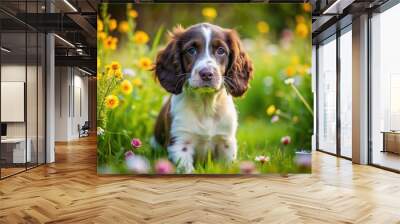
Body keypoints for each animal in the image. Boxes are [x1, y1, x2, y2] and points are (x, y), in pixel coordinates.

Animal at [152, 23, 252, 173]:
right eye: (191, 50)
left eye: (221, 51)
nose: (206, 74)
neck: (206, 106)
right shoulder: (180, 142)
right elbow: (186, 170)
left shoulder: (226, 142)